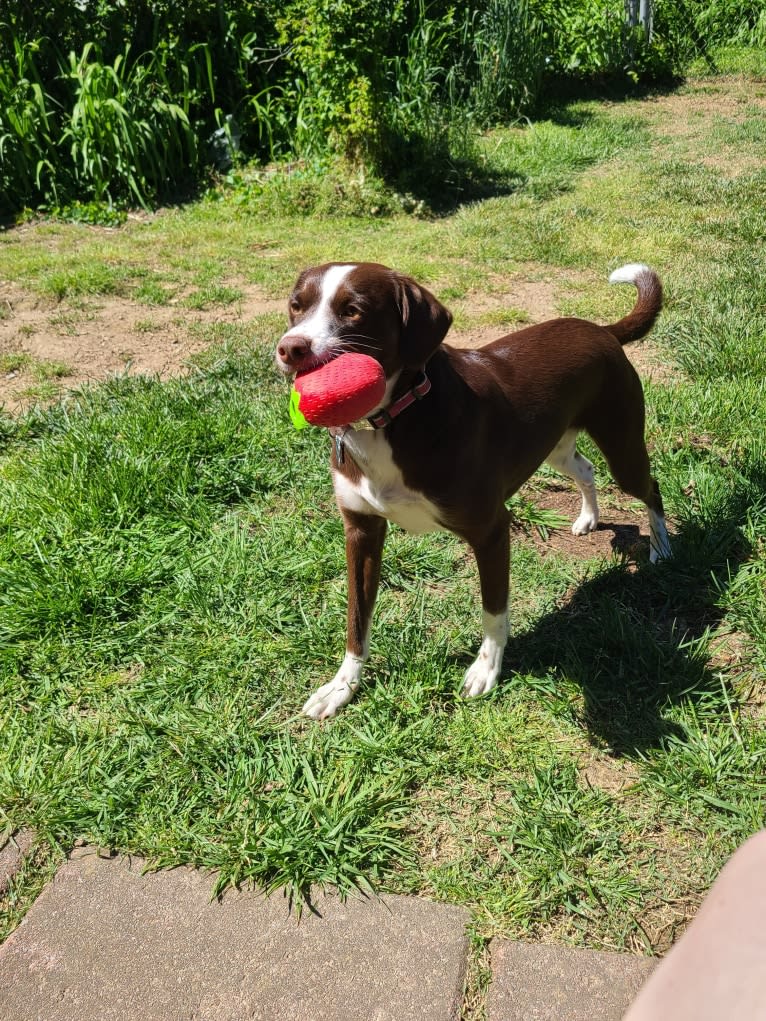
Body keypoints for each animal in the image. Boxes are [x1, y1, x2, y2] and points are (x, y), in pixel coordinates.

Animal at [277, 263, 669, 726]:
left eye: (353, 311)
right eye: (296, 306)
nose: (290, 348)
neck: (394, 418)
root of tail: (601, 330)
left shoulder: (491, 530)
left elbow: (493, 611)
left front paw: (486, 670)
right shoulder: (361, 530)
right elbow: (357, 620)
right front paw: (341, 688)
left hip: (622, 444)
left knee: (649, 488)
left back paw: (661, 550)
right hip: (555, 446)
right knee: (585, 468)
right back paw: (587, 517)